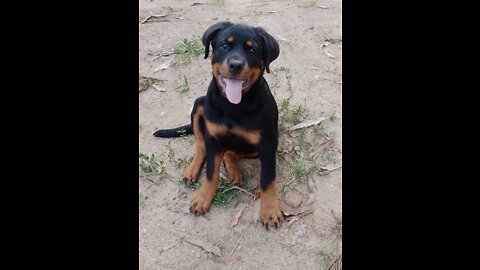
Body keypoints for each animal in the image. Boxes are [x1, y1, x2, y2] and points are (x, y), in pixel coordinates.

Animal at [154, 22, 284, 229]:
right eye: (224, 45)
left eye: (252, 49)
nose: (236, 65)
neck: (234, 106)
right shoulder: (214, 139)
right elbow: (211, 172)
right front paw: (203, 197)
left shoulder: (267, 144)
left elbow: (267, 179)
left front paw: (270, 210)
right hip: (199, 104)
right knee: (201, 144)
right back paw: (193, 169)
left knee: (230, 152)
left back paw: (233, 171)